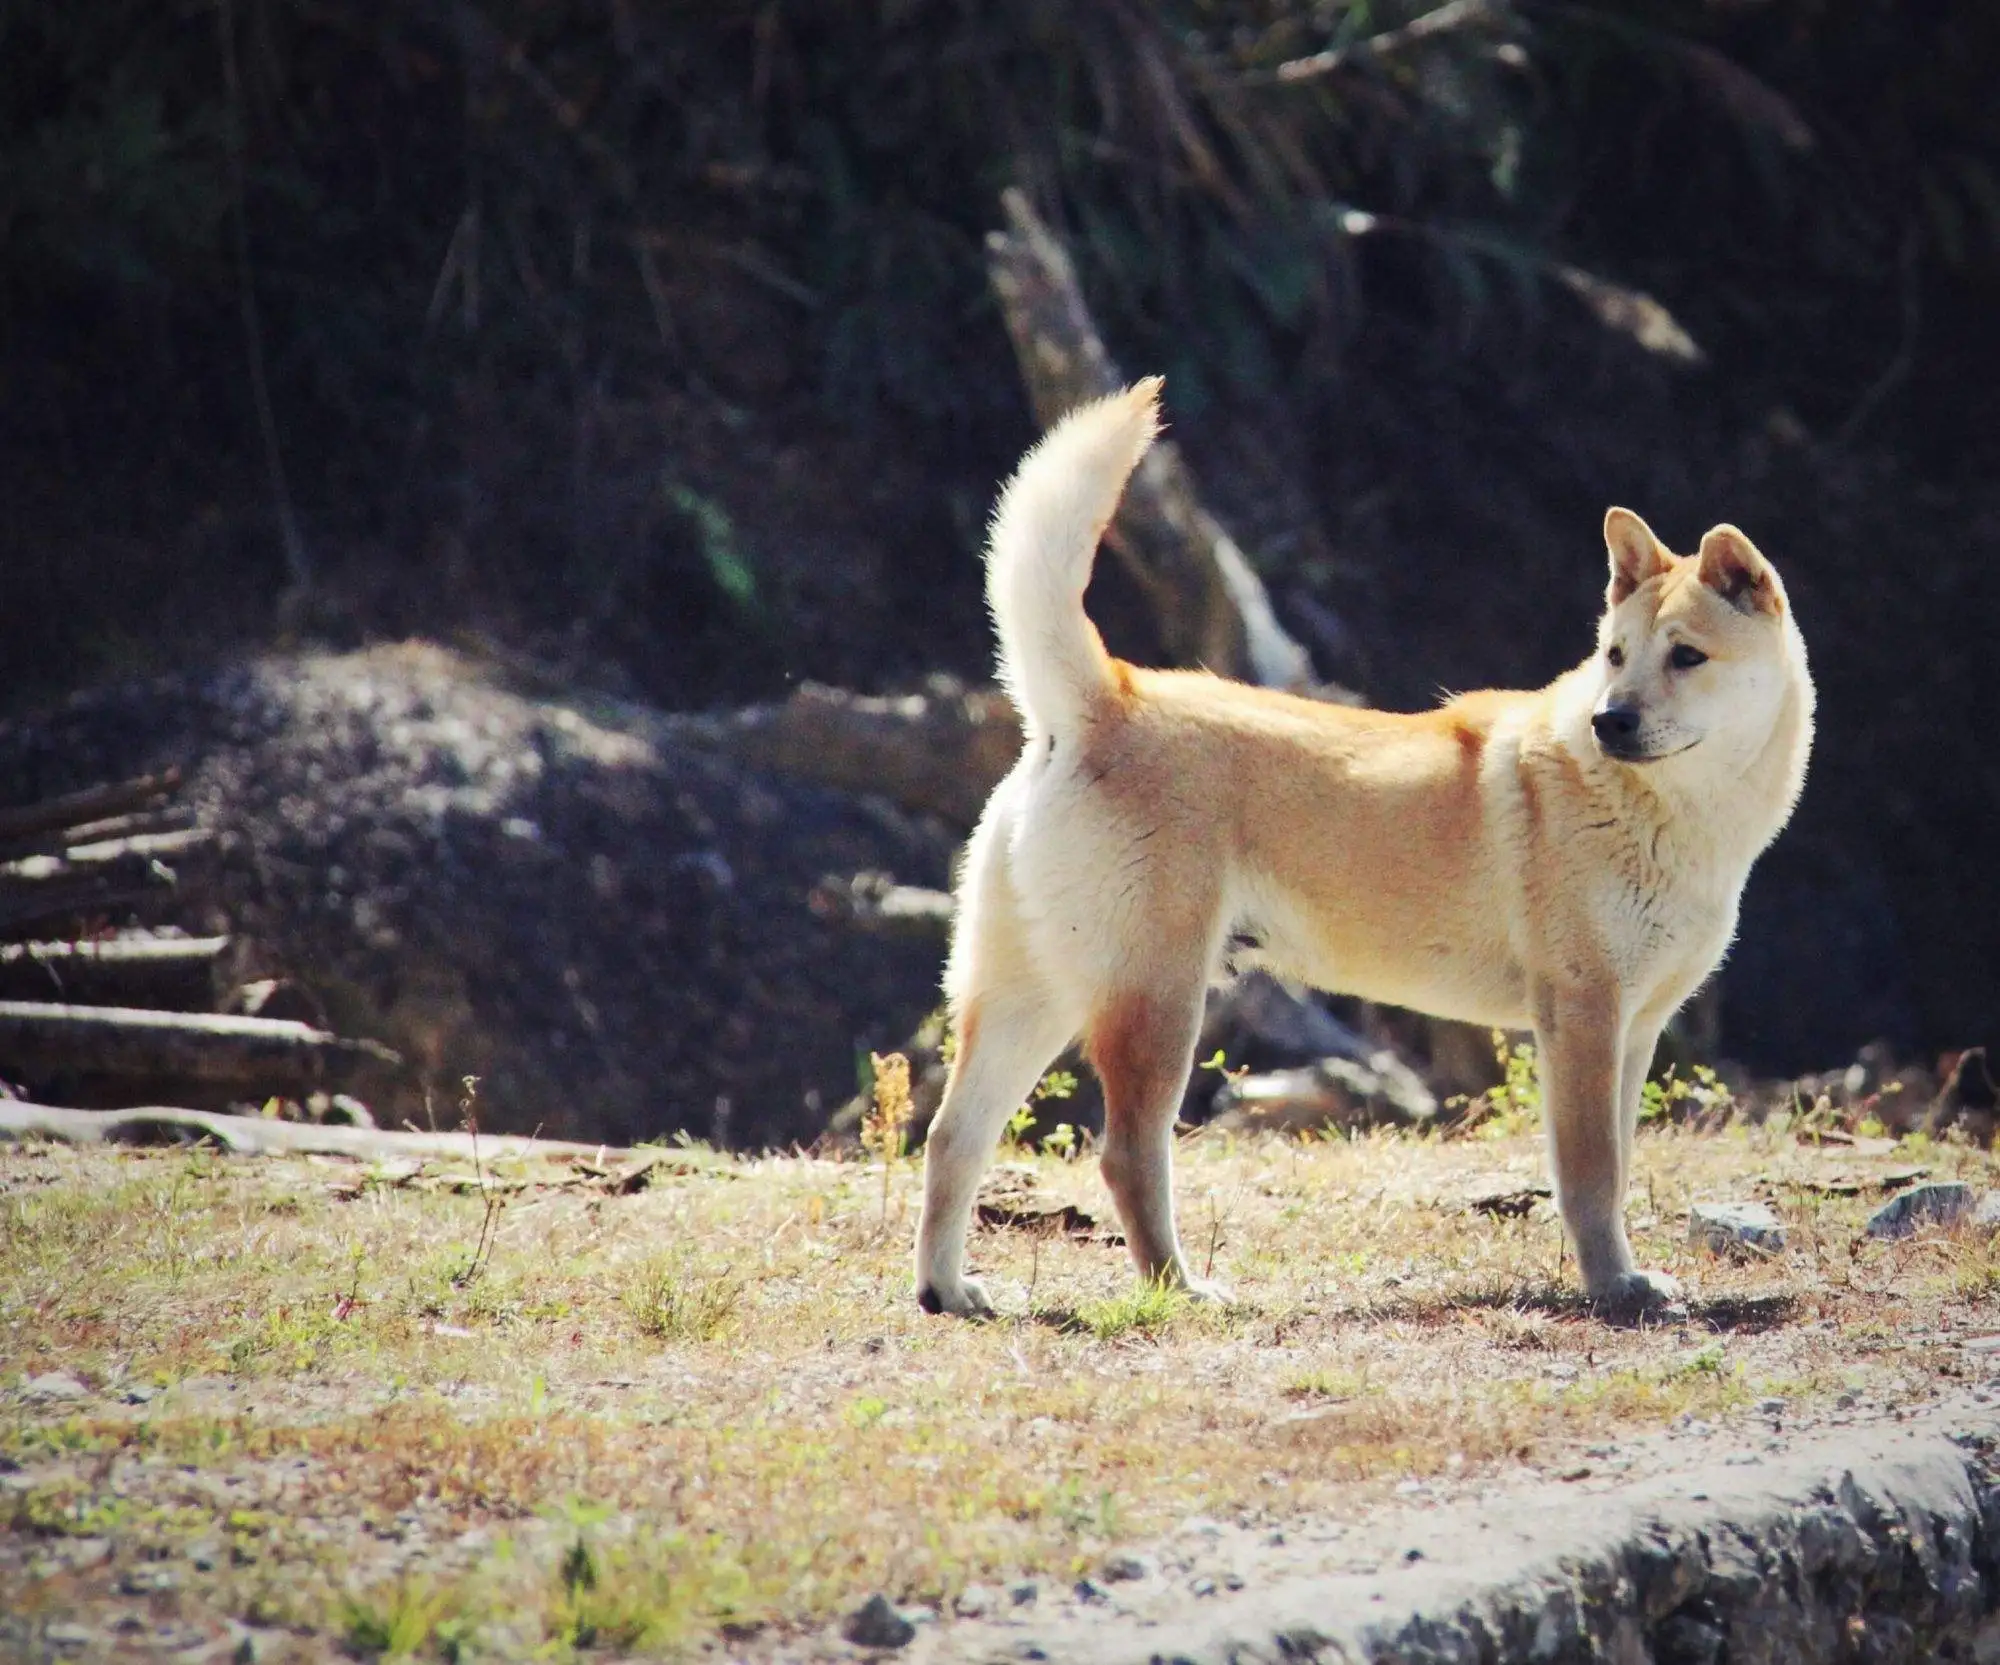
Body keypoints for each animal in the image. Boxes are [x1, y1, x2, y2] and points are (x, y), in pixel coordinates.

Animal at [916, 376, 1824, 1312]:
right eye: (1616, 655)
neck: (1673, 817)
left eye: (1686, 656)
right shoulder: (1581, 1015)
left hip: (1031, 999)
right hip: (1158, 1002)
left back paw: (951, 1291)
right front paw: (1616, 1284)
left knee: (953, 1138)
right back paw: (1180, 1286)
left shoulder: (1634, 1029)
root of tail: (1104, 699)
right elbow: (1591, 1174)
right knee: (1126, 1155)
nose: (1612, 720)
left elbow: (1619, 1160)